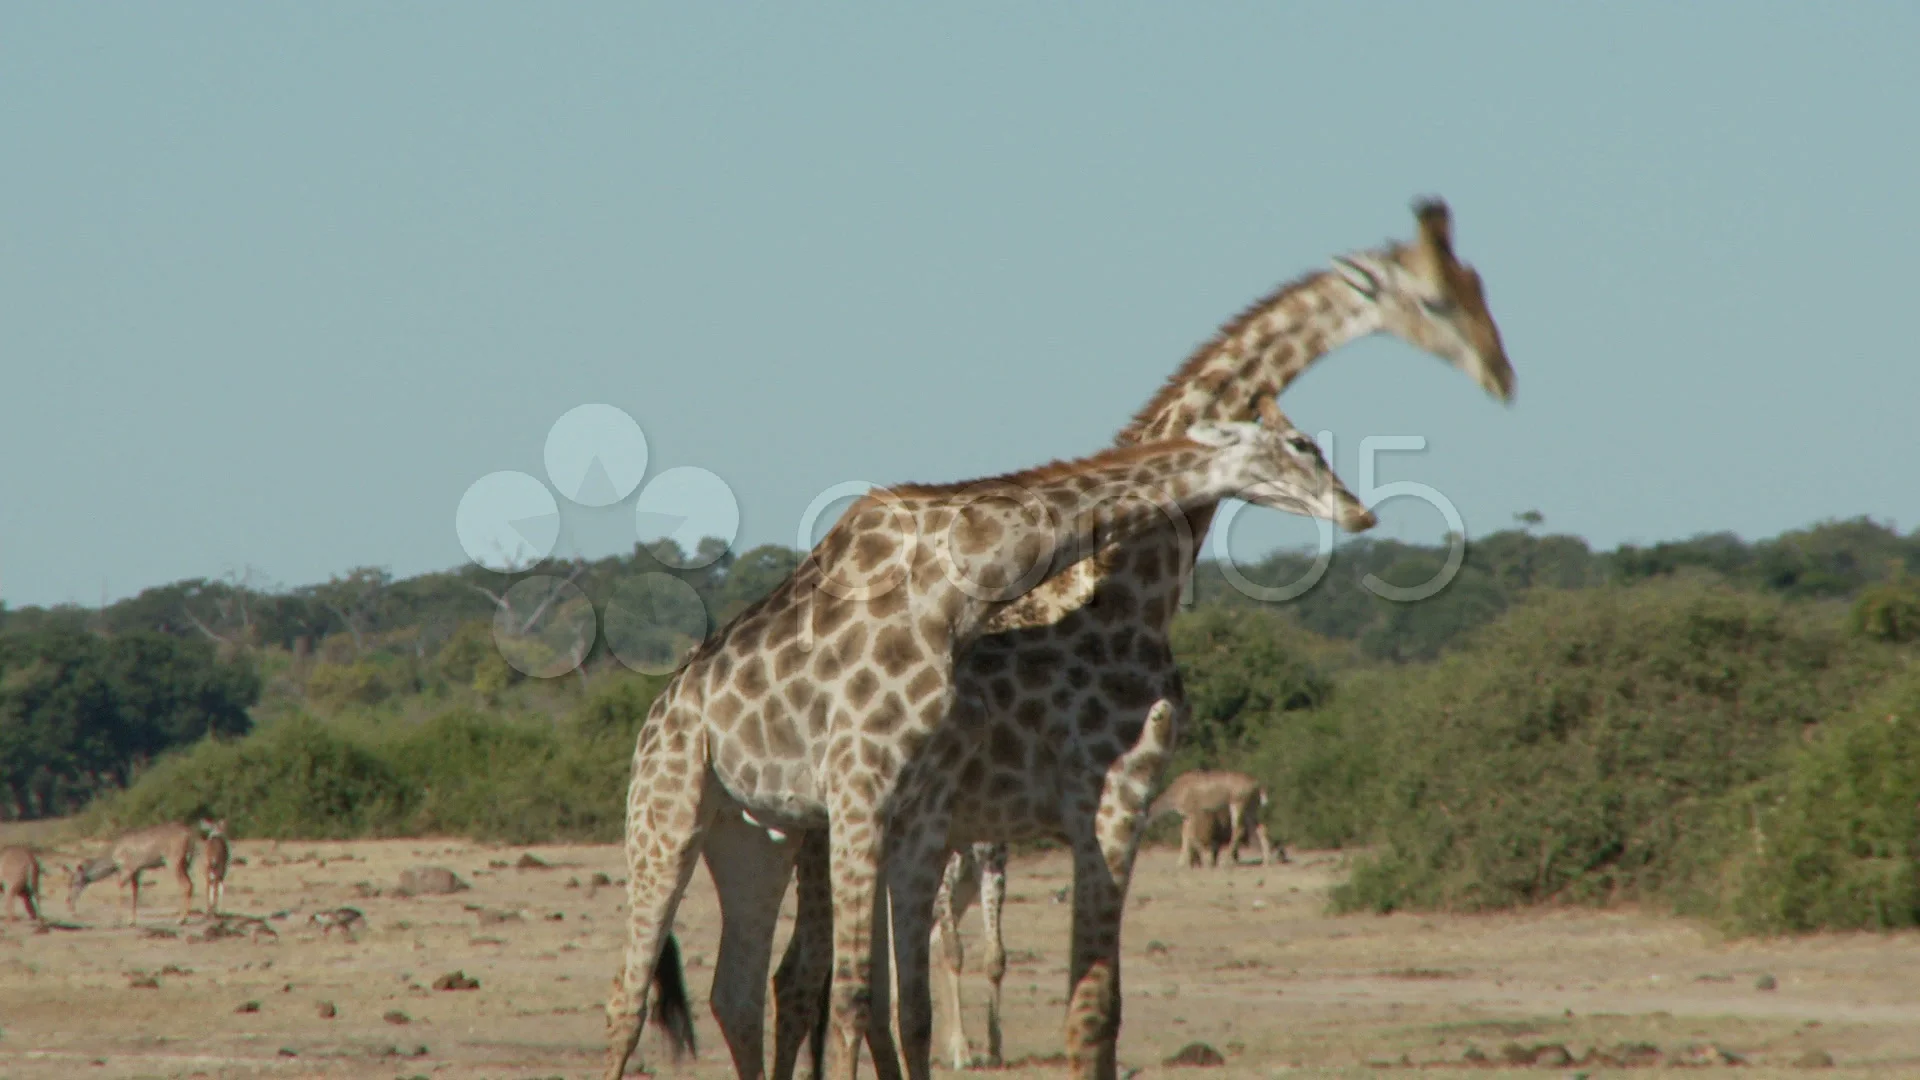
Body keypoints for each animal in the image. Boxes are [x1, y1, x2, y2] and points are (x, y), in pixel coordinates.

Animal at [602, 417, 1371, 1080]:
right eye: (1302, 445)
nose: (1359, 513)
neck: (956, 586)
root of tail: (656, 716)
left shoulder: (915, 813)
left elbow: (904, 1005)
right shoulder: (859, 789)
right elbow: (854, 995)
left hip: (755, 835)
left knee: (733, 994)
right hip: (667, 813)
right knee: (630, 997)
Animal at [727, 197, 1516, 1080]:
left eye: (1479, 285)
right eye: (1439, 299)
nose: (1501, 371)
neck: (1119, 581)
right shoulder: (1084, 801)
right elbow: (1077, 1004)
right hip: (842, 828)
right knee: (809, 976)